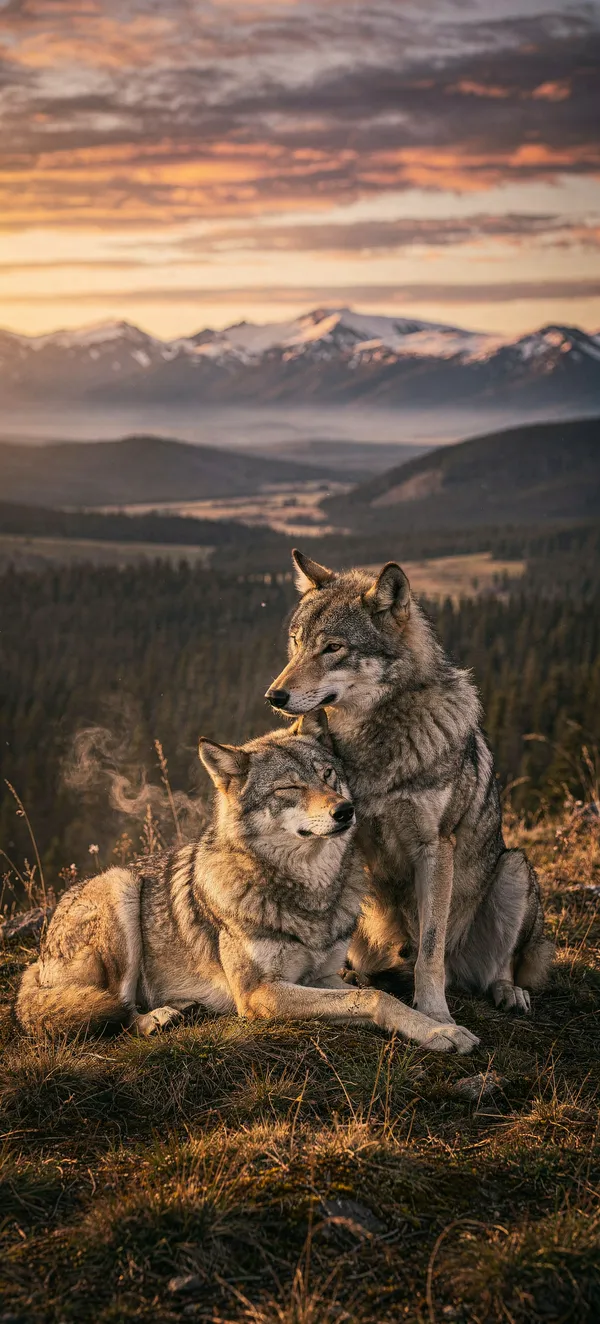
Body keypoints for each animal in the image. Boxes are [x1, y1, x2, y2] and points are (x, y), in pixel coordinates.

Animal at [16, 713, 478, 1053]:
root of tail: (37, 961)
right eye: (290, 787)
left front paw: (434, 1024)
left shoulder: (322, 977)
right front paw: (441, 1033)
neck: (310, 894)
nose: (345, 810)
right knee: (117, 1007)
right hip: (119, 886)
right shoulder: (259, 993)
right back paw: (155, 1019)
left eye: (328, 775)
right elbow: (374, 997)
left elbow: (369, 995)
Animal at [266, 551, 553, 1025]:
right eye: (295, 642)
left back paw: (508, 991)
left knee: (499, 966)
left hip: (514, 868)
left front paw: (435, 1014)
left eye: (333, 648)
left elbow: (430, 950)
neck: (378, 743)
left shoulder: (434, 847)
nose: (274, 696)